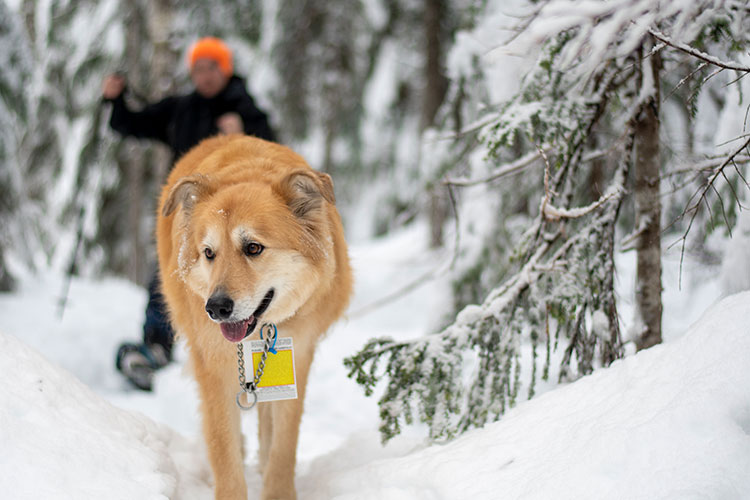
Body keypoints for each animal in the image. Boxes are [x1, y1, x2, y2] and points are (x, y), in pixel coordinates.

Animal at [156, 135, 356, 498]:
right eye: (209, 253)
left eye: (253, 248)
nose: (215, 308)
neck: (261, 332)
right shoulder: (212, 365)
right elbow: (223, 448)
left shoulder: (298, 356)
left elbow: (283, 444)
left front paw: (276, 489)